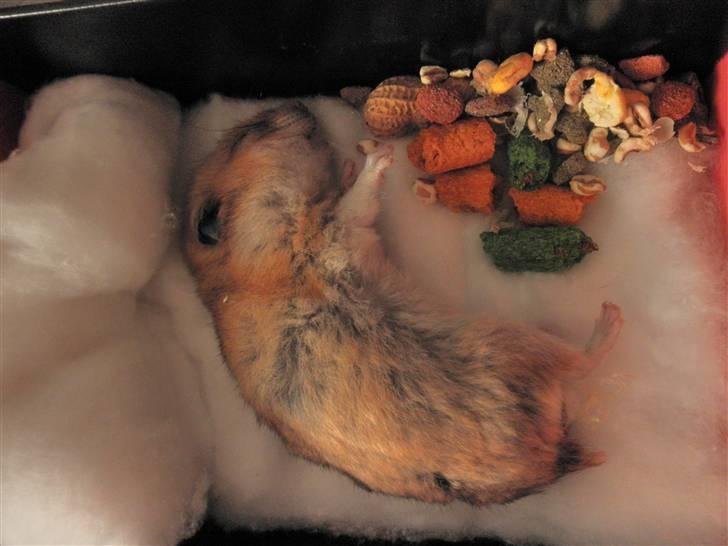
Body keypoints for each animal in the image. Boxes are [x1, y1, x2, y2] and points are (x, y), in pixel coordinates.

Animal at [183, 101, 623, 505]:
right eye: (248, 133)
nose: (301, 105)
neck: (243, 254)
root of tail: (549, 460)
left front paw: (349, 163)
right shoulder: (335, 236)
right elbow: (359, 201)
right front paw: (376, 156)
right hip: (512, 344)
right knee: (582, 361)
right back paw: (611, 316)